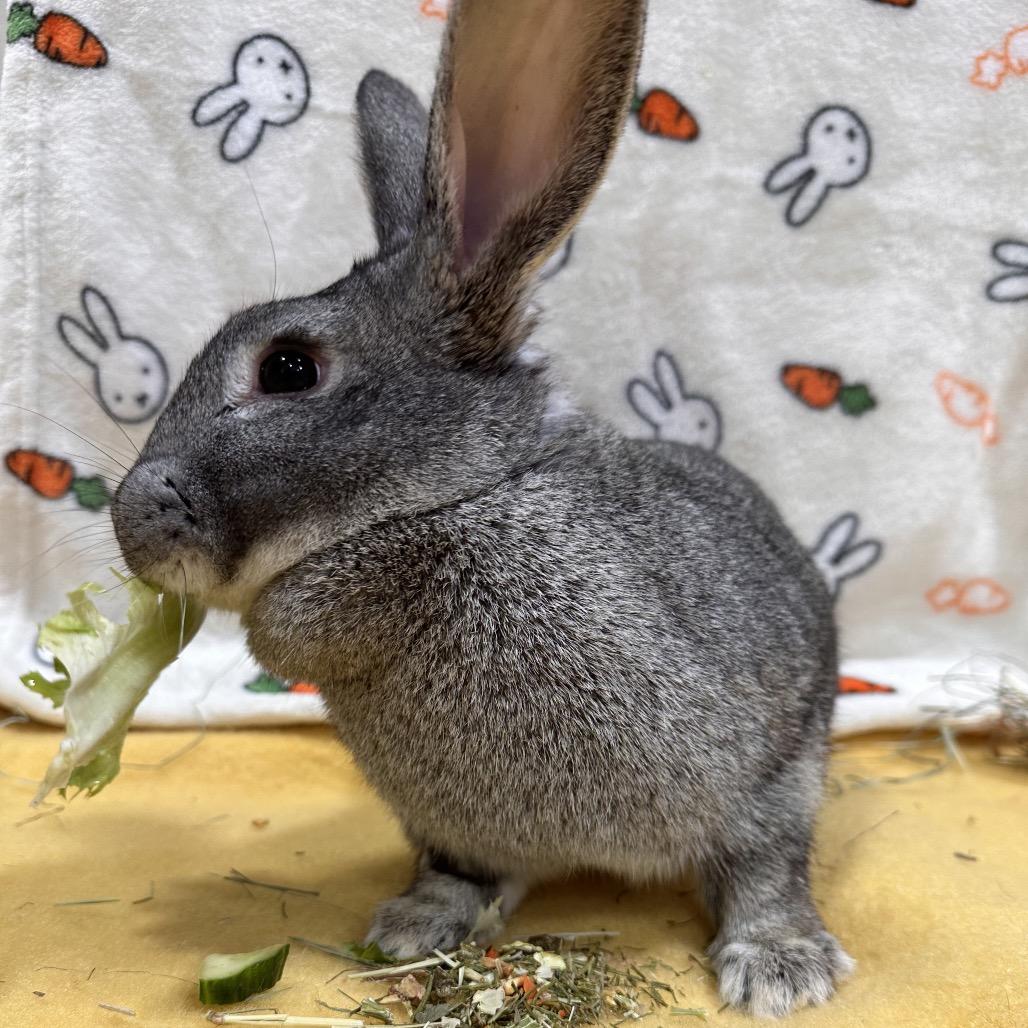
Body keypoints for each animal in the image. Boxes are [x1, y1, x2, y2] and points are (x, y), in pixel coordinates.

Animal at [111, 0, 853, 1016]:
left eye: (289, 367)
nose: (129, 521)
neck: (466, 488)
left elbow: (325, 603)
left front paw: (276, 622)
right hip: (457, 825)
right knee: (470, 867)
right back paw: (416, 925)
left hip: (781, 770)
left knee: (767, 863)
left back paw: (780, 965)